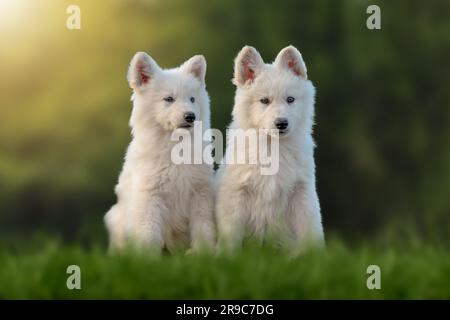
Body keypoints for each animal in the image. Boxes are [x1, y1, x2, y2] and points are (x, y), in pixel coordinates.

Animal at [106, 51, 217, 254]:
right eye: (169, 99)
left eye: (192, 99)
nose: (190, 116)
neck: (174, 148)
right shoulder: (150, 197)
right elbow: (148, 233)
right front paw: (148, 258)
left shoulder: (200, 193)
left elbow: (203, 226)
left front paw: (201, 253)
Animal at [216, 45, 326, 255]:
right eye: (264, 101)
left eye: (290, 99)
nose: (281, 123)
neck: (274, 148)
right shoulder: (237, 194)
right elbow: (231, 235)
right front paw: (227, 257)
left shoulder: (302, 192)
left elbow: (310, 230)